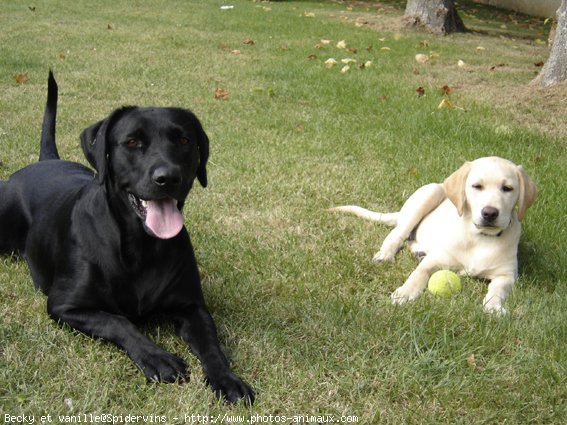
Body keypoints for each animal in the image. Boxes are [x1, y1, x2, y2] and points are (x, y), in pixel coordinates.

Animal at [330, 157, 540, 314]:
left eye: (507, 188)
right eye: (477, 186)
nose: (489, 213)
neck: (480, 236)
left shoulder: (507, 275)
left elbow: (497, 289)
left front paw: (494, 307)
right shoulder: (436, 260)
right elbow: (418, 273)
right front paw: (405, 292)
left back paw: (419, 252)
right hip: (430, 192)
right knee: (398, 234)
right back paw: (386, 254)